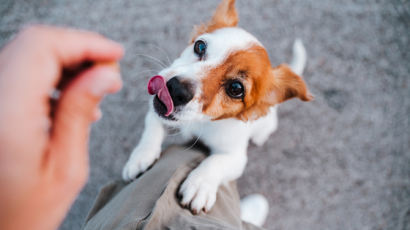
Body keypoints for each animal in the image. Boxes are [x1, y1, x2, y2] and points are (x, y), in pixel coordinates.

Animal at [121, 0, 310, 217]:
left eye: (236, 88)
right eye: (200, 46)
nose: (175, 89)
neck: (200, 122)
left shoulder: (236, 158)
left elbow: (216, 161)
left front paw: (199, 184)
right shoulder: (157, 113)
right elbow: (152, 128)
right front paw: (141, 156)